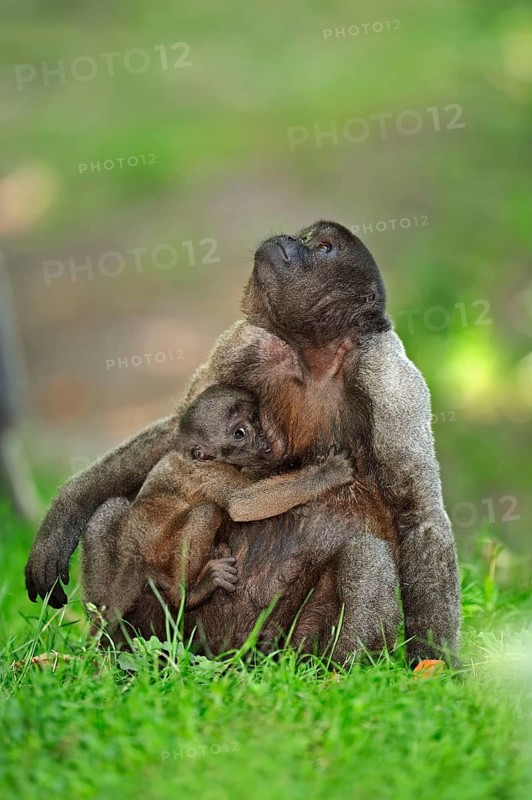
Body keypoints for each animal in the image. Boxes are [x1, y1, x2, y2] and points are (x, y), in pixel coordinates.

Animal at [81, 384, 354, 643]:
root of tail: (132, 547)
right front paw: (325, 474)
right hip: (160, 547)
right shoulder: (212, 471)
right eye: (239, 433)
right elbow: (240, 504)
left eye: (255, 419)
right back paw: (189, 595)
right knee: (206, 512)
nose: (263, 437)